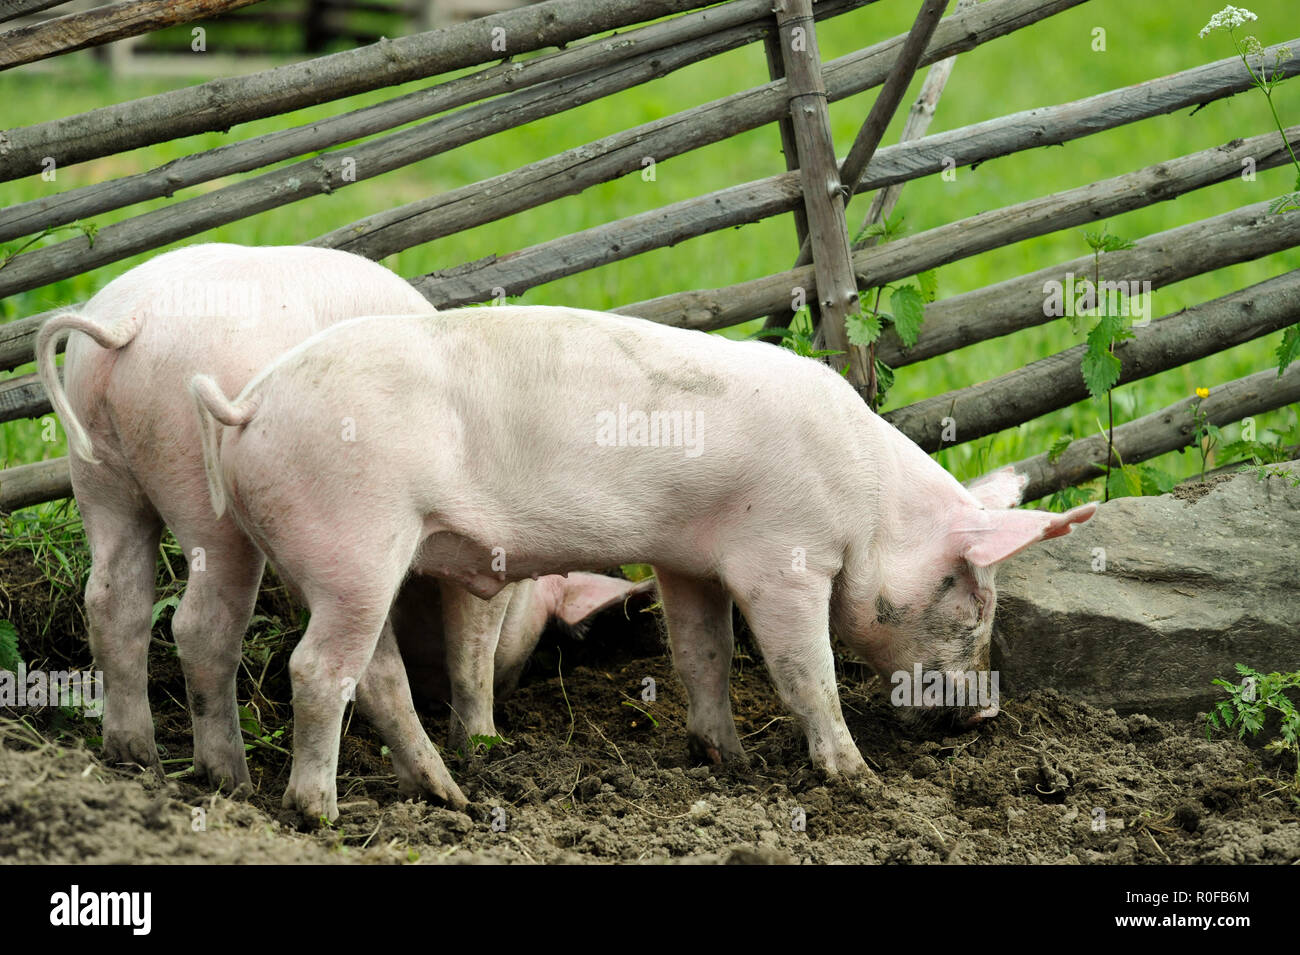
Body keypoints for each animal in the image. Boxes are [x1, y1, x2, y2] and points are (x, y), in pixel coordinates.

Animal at [35, 244, 470, 808]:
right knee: (201, 625)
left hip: (97, 472)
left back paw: (137, 758)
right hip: (202, 489)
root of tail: (132, 321)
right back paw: (231, 781)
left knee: (113, 600)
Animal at [191, 305, 1095, 822]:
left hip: (305, 553)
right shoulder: (784, 559)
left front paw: (727, 760)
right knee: (317, 669)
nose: (987, 714)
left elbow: (703, 654)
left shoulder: (688, 560)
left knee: (363, 671)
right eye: (974, 601)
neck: (869, 506)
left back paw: (449, 797)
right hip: (355, 540)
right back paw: (317, 814)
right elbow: (807, 670)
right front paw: (857, 780)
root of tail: (248, 404)